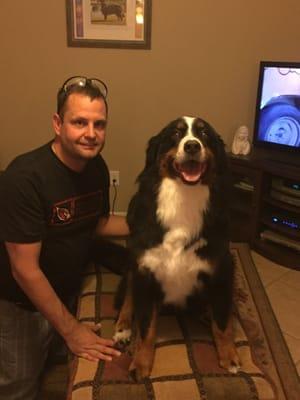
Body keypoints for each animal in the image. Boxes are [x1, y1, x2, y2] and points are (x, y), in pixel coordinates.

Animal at [113, 116, 240, 382]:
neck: (185, 198)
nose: (192, 146)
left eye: (204, 134)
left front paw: (229, 355)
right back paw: (123, 327)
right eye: (176, 134)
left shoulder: (222, 269)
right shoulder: (145, 271)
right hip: (132, 262)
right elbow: (146, 326)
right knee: (128, 294)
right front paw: (140, 362)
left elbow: (223, 322)